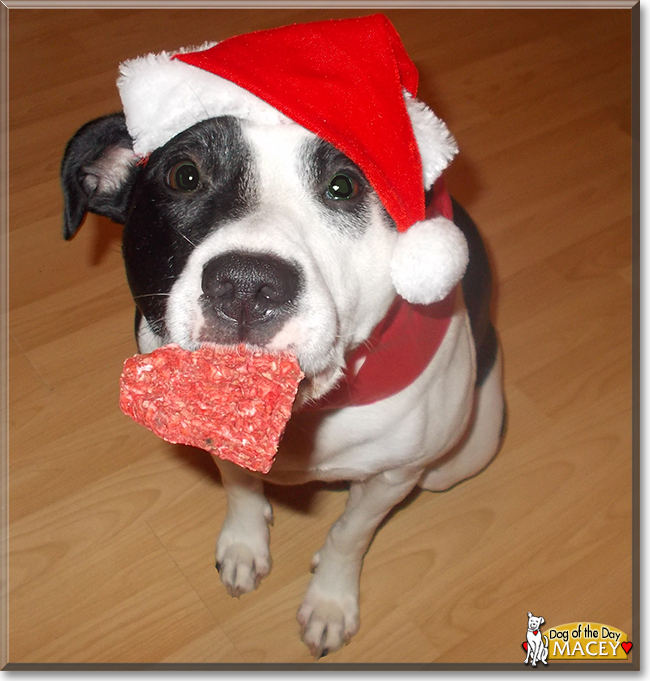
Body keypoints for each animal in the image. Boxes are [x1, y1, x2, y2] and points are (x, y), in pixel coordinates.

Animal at [59, 15, 506, 656]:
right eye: (183, 175)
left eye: (344, 186)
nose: (247, 285)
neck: (300, 416)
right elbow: (241, 487)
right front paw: (245, 544)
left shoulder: (393, 478)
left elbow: (349, 534)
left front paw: (330, 600)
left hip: (463, 453)